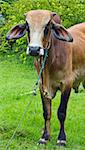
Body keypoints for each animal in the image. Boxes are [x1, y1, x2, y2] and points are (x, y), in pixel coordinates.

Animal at [6, 9, 85, 146]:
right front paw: (44, 137)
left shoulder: (67, 83)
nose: (34, 49)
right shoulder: (42, 86)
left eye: (47, 26)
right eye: (27, 26)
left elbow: (61, 112)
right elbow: (47, 112)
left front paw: (61, 139)